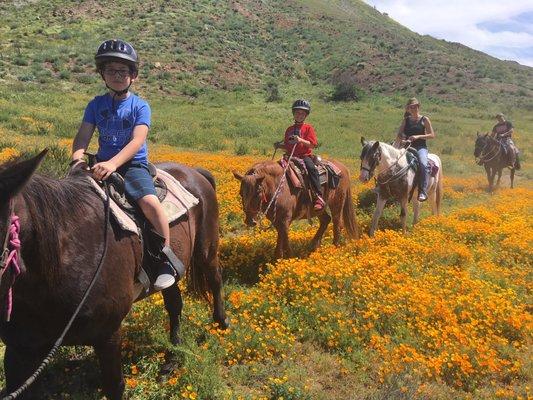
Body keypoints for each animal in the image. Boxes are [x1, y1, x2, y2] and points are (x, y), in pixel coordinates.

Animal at [0, 151, 227, 400]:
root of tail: (195, 171)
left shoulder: (108, 335)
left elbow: (114, 386)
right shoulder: (19, 349)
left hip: (206, 250)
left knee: (215, 280)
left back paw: (221, 324)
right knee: (174, 304)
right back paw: (172, 359)